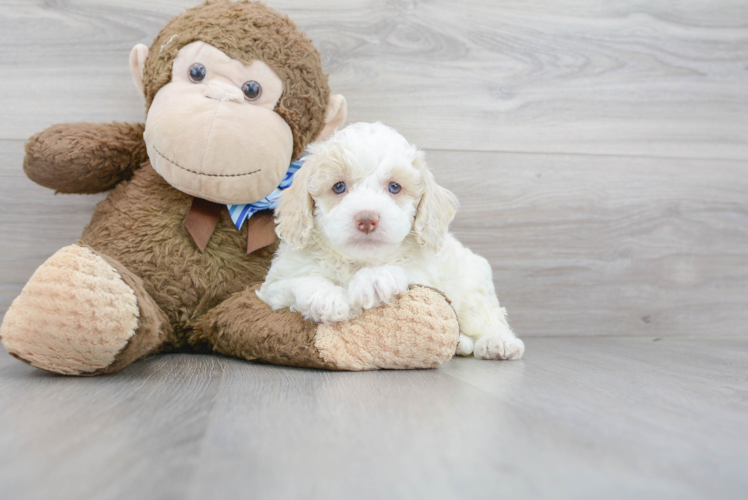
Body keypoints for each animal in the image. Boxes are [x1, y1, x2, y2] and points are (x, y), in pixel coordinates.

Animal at [260, 123, 524, 362]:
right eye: (339, 187)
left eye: (394, 187)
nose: (367, 219)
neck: (357, 261)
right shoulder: (273, 286)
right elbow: (297, 281)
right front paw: (326, 297)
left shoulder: (426, 273)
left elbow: (405, 270)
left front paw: (374, 279)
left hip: (471, 286)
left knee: (488, 317)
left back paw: (498, 342)